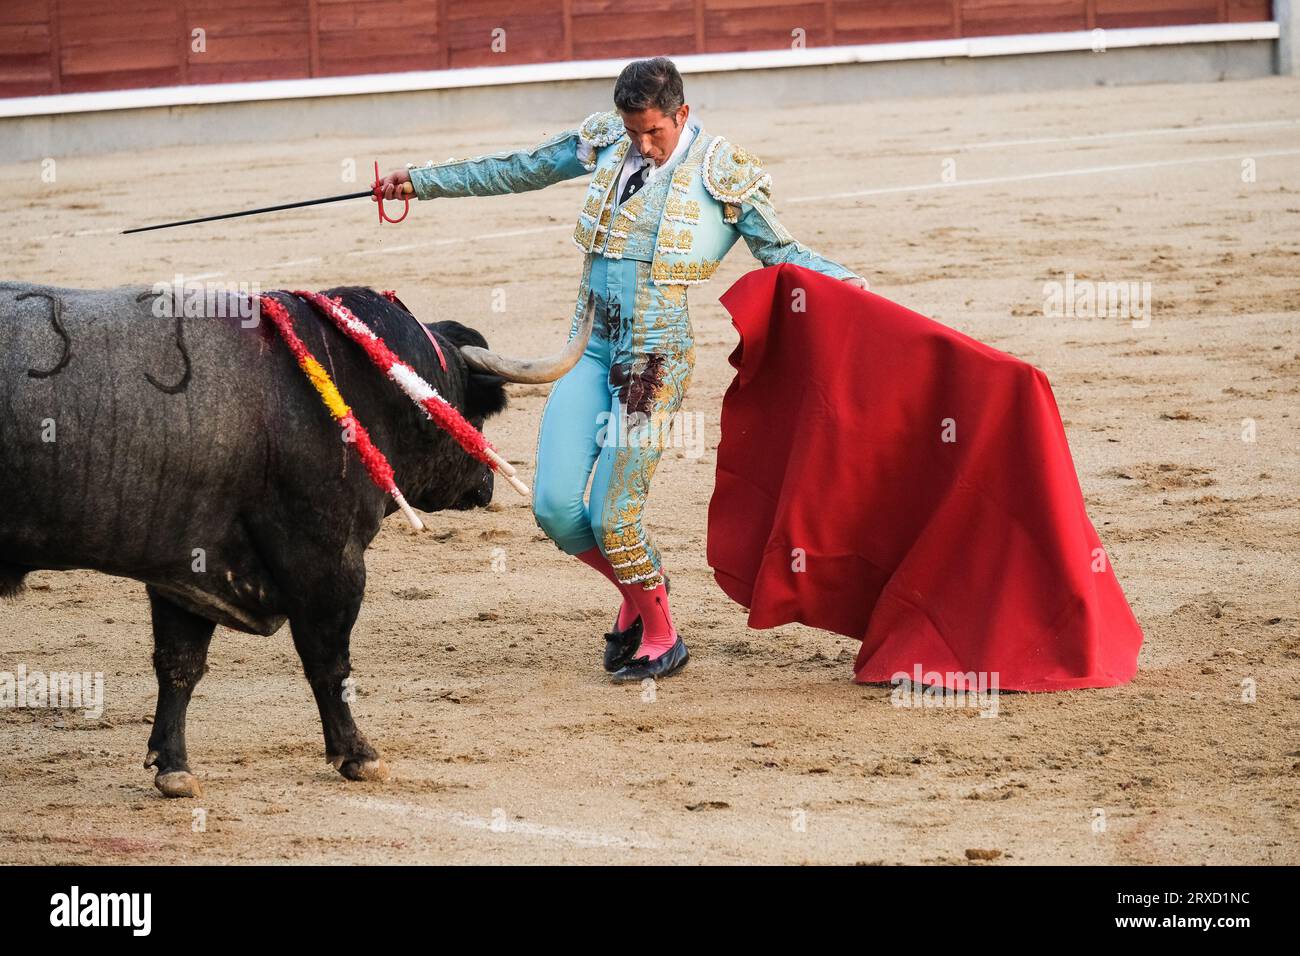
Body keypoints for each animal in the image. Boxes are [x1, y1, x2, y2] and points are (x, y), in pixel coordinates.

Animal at [0, 280, 506, 796]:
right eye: (475, 412)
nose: (487, 485)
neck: (356, 381)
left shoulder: (187, 567)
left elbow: (180, 662)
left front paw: (173, 767)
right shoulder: (328, 562)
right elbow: (329, 662)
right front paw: (358, 754)